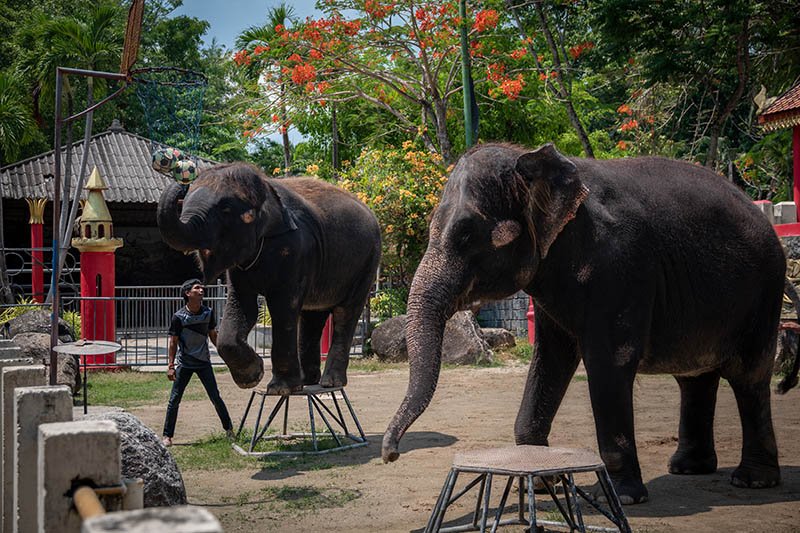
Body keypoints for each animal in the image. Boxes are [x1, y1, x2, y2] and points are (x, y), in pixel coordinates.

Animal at [159, 160, 382, 392]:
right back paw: (307, 382)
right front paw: (252, 378)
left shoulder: (296, 250)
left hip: (367, 262)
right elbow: (243, 307)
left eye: (225, 210)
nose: (180, 181)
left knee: (345, 313)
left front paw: (280, 389)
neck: (267, 188)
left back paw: (331, 382)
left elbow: (283, 307)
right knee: (313, 316)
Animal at [382, 142, 800, 502]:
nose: (391, 454)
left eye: (467, 234)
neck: (533, 160)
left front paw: (620, 497)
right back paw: (687, 469)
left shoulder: (618, 264)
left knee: (748, 375)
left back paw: (752, 481)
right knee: (694, 377)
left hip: (763, 293)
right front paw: (541, 480)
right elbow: (551, 359)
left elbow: (608, 361)